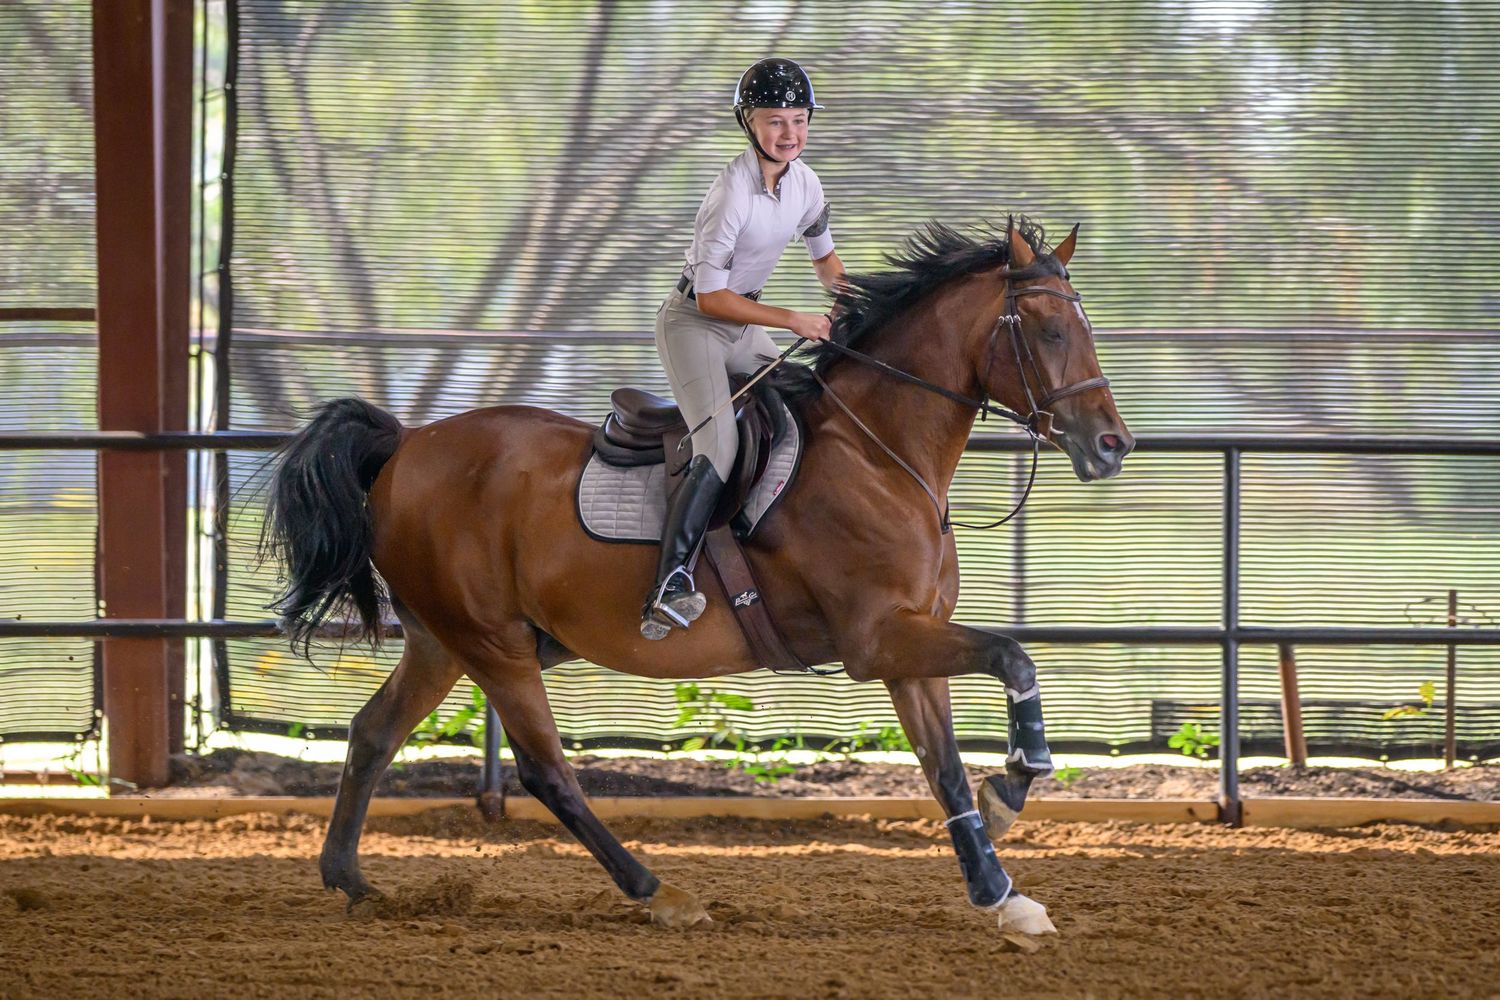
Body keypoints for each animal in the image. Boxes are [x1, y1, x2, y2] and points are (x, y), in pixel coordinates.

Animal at [263, 217, 1133, 934]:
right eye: (1049, 329)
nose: (1112, 445)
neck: (879, 454)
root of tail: (406, 445)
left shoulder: (909, 651)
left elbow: (946, 769)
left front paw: (1002, 889)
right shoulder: (878, 642)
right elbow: (1013, 658)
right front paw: (1017, 786)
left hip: (445, 642)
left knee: (373, 732)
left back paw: (349, 879)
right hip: (493, 646)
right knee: (547, 772)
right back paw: (661, 893)